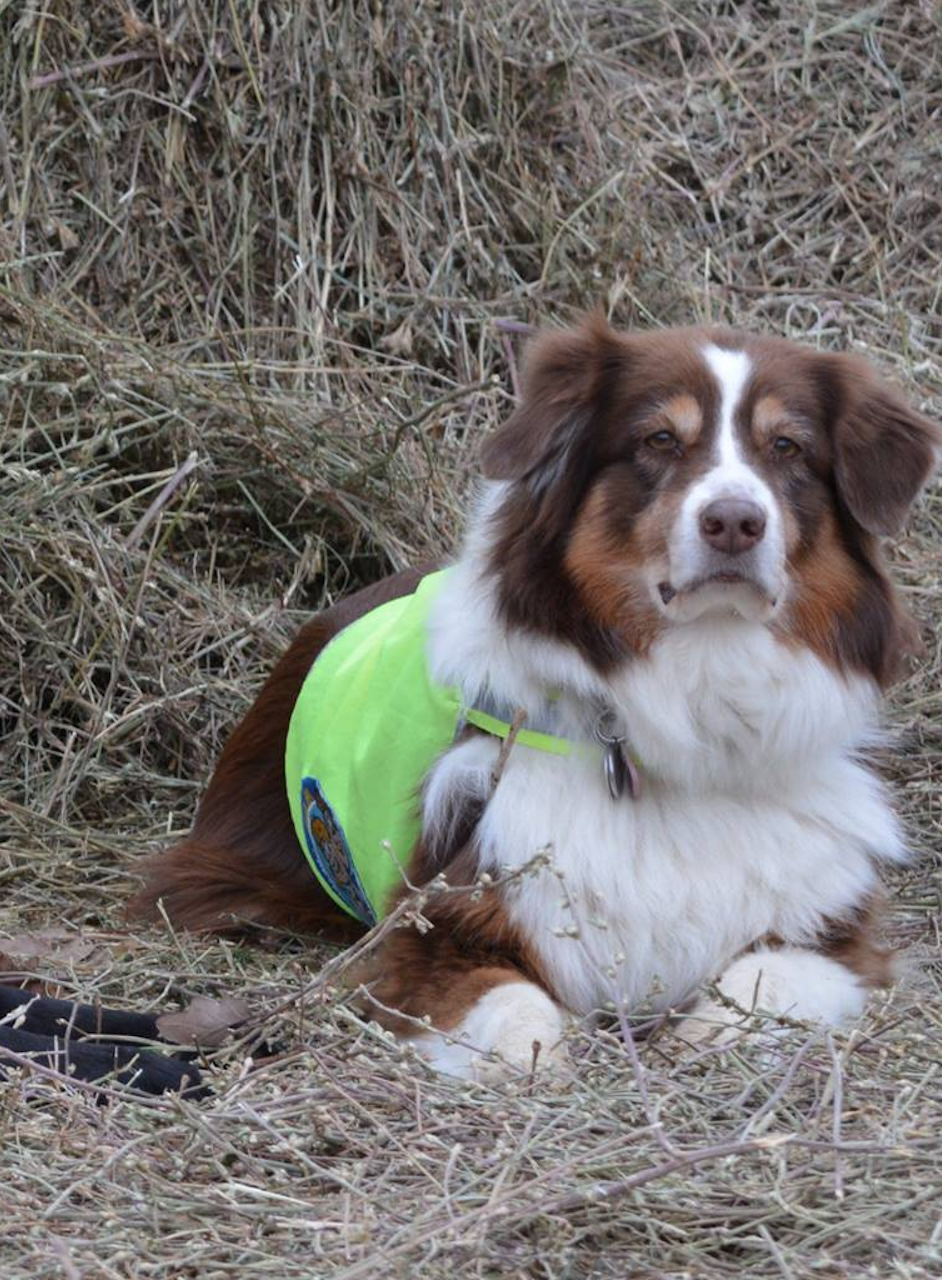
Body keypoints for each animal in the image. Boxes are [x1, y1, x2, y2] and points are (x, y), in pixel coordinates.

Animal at [131, 316, 940, 1081]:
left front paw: (699, 1038)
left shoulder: (836, 939)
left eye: (788, 448)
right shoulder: (430, 930)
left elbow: (762, 982)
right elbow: (519, 1015)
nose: (736, 522)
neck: (693, 701)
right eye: (658, 440)